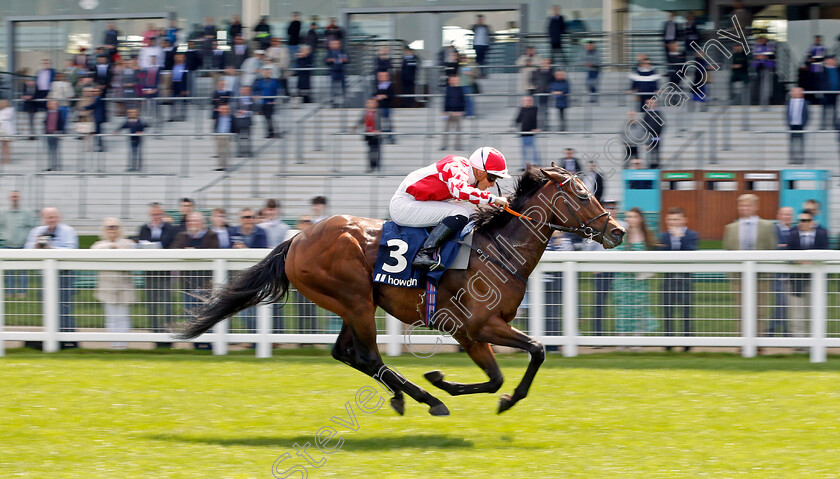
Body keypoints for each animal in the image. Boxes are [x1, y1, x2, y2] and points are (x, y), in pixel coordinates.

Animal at [180, 167, 624, 414]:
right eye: (582, 194)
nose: (617, 230)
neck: (497, 249)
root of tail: (298, 237)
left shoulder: (475, 332)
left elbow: (507, 370)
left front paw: (457, 384)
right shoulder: (475, 327)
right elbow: (533, 352)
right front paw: (452, 385)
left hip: (353, 304)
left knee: (346, 353)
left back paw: (406, 396)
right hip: (355, 300)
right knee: (367, 355)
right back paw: (427, 399)